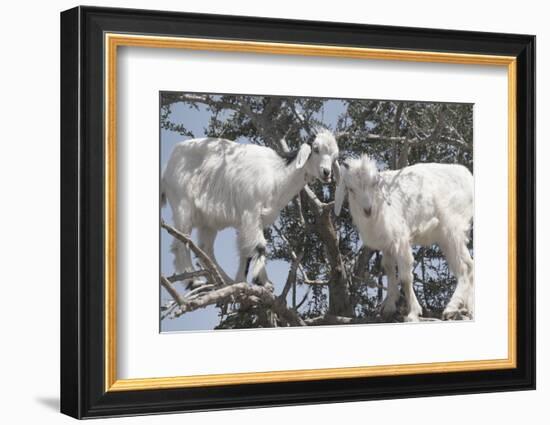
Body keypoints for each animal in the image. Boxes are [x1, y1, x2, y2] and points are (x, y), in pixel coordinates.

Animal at [160, 129, 340, 286]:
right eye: (315, 149)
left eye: (334, 156)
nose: (326, 173)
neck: (277, 175)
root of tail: (167, 167)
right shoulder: (250, 212)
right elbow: (259, 246)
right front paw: (263, 281)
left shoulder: (253, 220)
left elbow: (245, 250)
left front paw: (241, 280)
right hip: (182, 205)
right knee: (180, 243)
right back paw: (193, 282)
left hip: (208, 222)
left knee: (205, 250)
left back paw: (225, 281)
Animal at [334, 156, 476, 322]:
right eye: (350, 189)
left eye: (374, 183)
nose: (367, 210)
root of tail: (468, 177)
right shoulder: (387, 244)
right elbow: (388, 268)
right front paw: (389, 307)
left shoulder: (400, 239)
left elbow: (405, 277)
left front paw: (413, 313)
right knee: (469, 265)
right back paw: (467, 309)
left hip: (452, 228)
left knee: (465, 267)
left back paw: (451, 308)